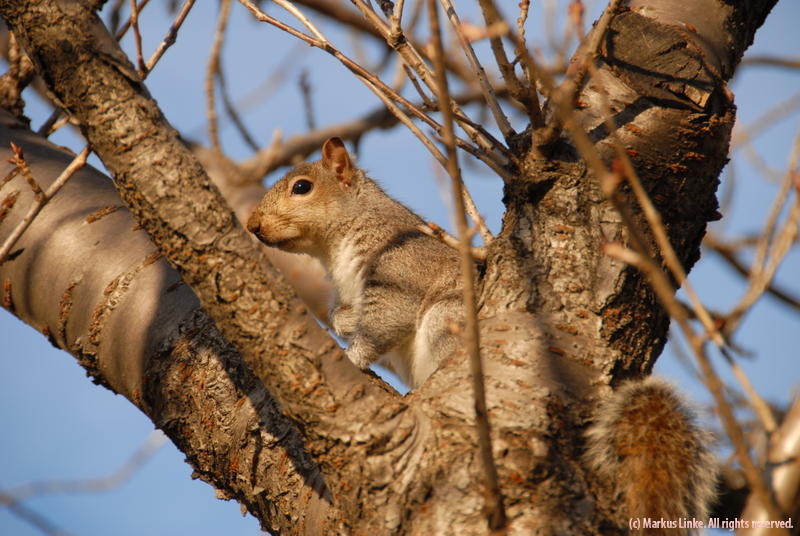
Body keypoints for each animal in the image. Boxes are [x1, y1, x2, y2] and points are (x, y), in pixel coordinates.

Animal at [245, 137, 720, 528]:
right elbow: (350, 314)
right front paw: (342, 319)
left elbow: (386, 321)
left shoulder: (402, 265)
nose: (252, 225)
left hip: (448, 319)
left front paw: (350, 356)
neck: (337, 244)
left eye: (302, 187)